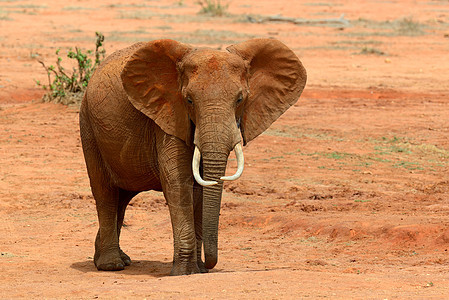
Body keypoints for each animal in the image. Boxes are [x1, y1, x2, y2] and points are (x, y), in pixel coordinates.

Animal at [79, 38, 306, 276]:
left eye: (240, 99)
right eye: (189, 100)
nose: (209, 264)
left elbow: (200, 189)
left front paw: (198, 270)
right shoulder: (168, 115)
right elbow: (179, 183)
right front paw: (184, 272)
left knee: (122, 199)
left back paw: (119, 259)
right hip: (88, 126)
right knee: (106, 194)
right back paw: (111, 265)